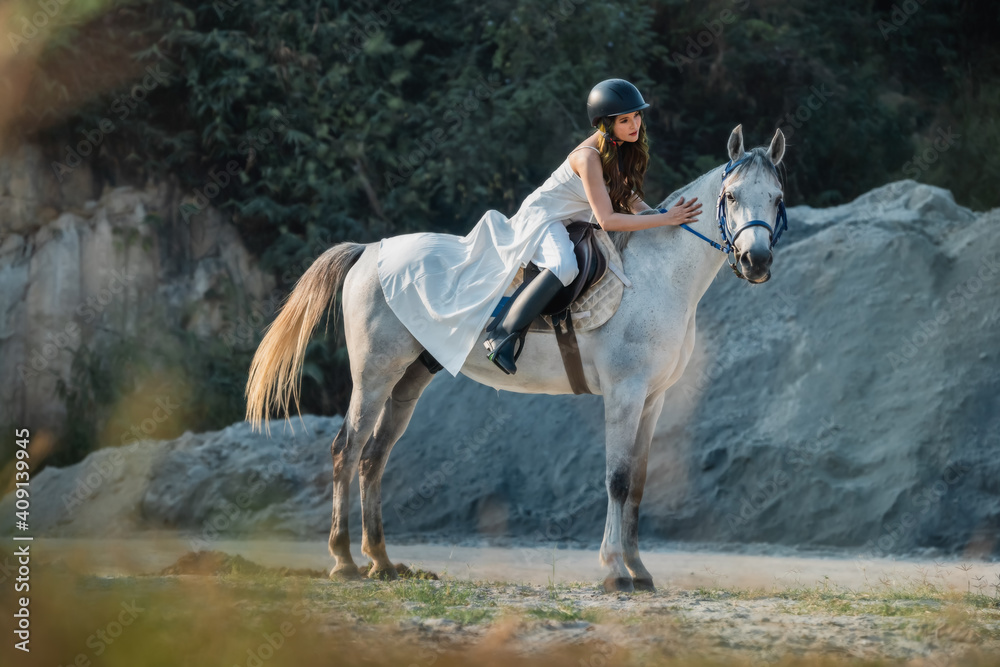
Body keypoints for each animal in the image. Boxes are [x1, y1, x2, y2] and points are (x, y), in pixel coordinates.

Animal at [245, 124, 787, 592]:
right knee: (347, 450)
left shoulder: (652, 399)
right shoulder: (625, 393)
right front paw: (616, 571)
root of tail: (369, 251)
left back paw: (381, 561)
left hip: (408, 382)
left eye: (777, 198)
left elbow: (636, 483)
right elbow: (616, 480)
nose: (756, 262)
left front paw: (639, 569)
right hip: (374, 377)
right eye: (731, 196)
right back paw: (343, 561)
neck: (658, 273)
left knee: (373, 458)